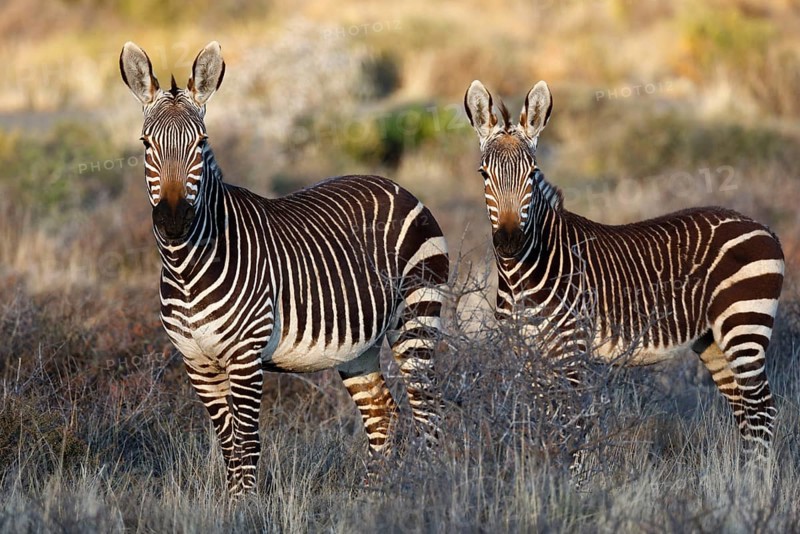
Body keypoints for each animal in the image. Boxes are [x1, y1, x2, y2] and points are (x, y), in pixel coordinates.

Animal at [119, 41, 449, 495]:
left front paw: (246, 505)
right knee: (383, 414)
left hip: (415, 317)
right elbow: (228, 443)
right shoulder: (197, 362)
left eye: (201, 143)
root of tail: (397, 186)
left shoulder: (245, 356)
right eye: (146, 143)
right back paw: (371, 496)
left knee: (426, 409)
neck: (186, 268)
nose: (173, 221)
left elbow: (247, 441)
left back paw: (430, 489)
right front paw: (231, 502)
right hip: (360, 345)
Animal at [463, 79, 784, 460]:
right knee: (745, 412)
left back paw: (757, 476)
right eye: (483, 174)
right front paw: (538, 471)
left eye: (531, 175)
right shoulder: (524, 354)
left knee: (762, 408)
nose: (509, 242)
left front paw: (569, 476)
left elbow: (569, 424)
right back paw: (744, 472)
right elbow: (537, 422)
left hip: (744, 326)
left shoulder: (569, 352)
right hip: (713, 340)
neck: (519, 277)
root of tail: (762, 226)